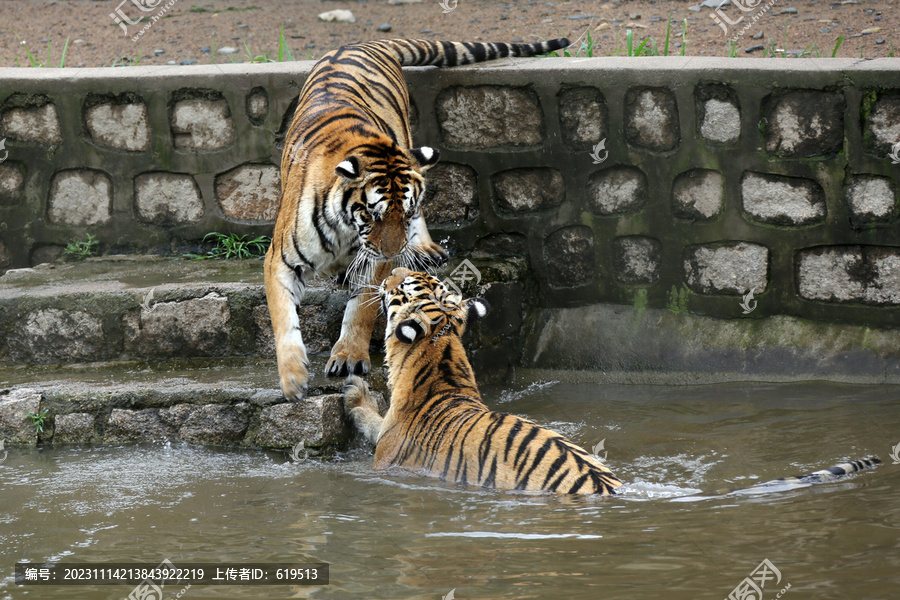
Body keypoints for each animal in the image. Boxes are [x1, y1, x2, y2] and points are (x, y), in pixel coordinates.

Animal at [264, 37, 568, 398]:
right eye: (372, 214)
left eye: (404, 212)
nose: (395, 253)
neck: (346, 230)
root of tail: (359, 44)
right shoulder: (280, 259)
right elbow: (283, 317)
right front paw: (293, 377)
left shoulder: (376, 259)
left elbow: (361, 309)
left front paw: (349, 356)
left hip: (407, 140)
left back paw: (424, 248)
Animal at [342, 270, 880, 494]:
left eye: (403, 284)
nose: (387, 271)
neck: (441, 364)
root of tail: (613, 487)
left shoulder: (388, 456)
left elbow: (374, 422)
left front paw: (355, 395)